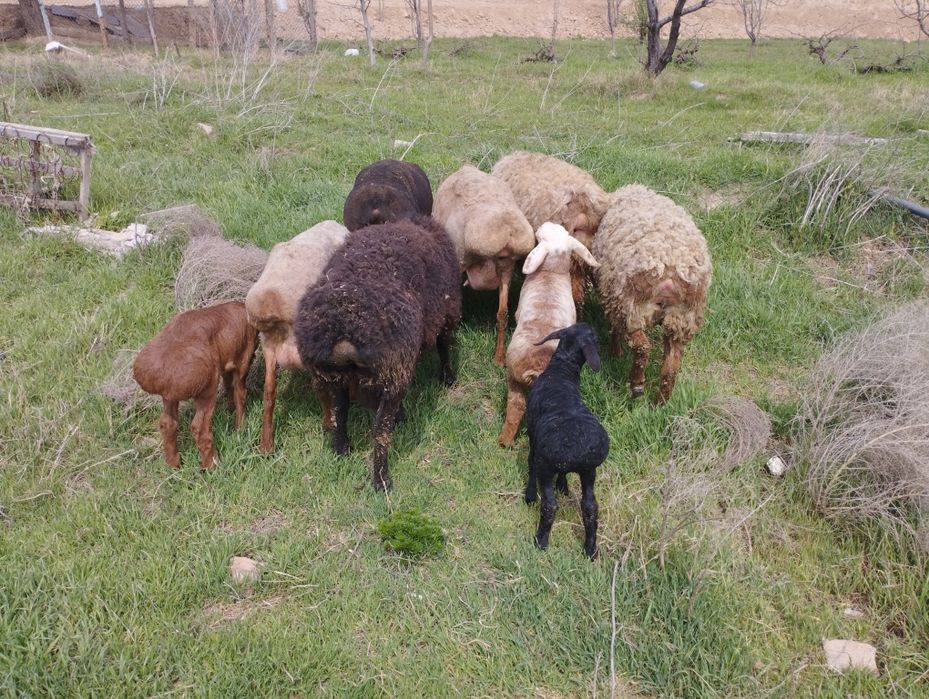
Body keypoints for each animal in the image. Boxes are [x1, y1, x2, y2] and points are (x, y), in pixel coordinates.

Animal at [133, 301, 258, 469]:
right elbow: (240, 393)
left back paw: (174, 464)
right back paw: (212, 465)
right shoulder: (243, 359)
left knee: (167, 423)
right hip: (207, 388)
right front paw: (240, 429)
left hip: (169, 396)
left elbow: (229, 386)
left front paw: (231, 411)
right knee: (200, 427)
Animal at [294, 215, 461, 491]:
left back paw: (342, 450)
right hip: (394, 369)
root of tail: (344, 335)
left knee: (339, 411)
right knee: (380, 430)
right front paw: (448, 378)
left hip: (333, 376)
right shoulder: (447, 311)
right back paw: (382, 479)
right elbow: (445, 346)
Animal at [497, 222, 600, 448]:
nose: (546, 224)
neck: (552, 272)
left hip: (513, 378)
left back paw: (505, 441)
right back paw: (505, 441)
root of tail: (533, 370)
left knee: (515, 406)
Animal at [525, 323, 609, 559]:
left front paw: (529, 495)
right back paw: (590, 549)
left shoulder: (533, 437)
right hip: (589, 471)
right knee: (590, 507)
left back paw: (541, 541)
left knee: (550, 505)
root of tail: (578, 453)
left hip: (547, 467)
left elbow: (530, 462)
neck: (561, 372)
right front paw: (563, 486)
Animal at [592, 184, 712, 404]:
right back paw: (660, 403)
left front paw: (616, 354)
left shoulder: (612, 297)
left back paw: (637, 385)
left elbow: (614, 330)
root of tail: (671, 270)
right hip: (681, 320)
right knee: (671, 367)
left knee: (642, 347)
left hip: (631, 307)